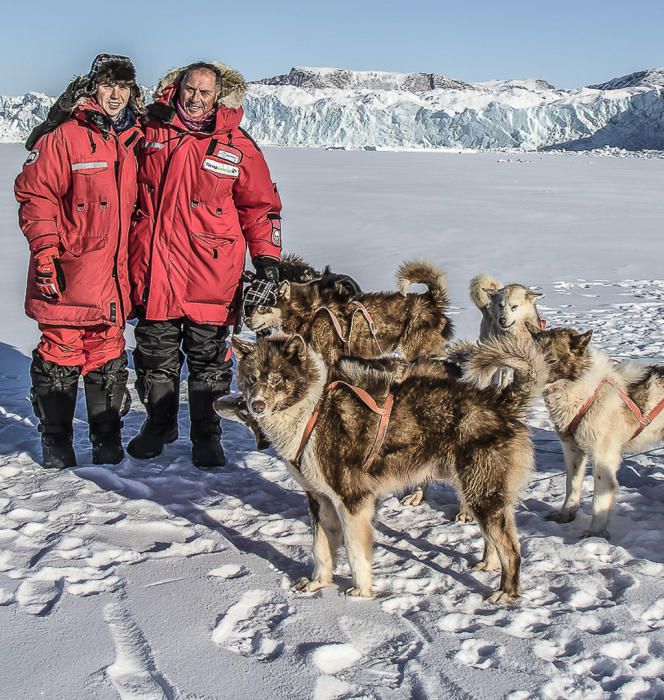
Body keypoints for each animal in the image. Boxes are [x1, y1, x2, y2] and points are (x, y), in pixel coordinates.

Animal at [228, 334, 544, 600]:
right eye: (252, 377)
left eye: (278, 378)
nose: (256, 405)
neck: (312, 410)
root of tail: (500, 402)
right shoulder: (320, 499)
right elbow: (321, 549)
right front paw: (319, 582)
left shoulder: (353, 500)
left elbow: (355, 552)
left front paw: (361, 591)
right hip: (479, 492)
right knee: (495, 539)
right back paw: (488, 564)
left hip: (482, 493)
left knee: (512, 549)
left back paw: (507, 593)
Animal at [528, 326, 664, 540]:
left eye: (552, 360)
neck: (587, 393)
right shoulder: (572, 450)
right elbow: (572, 484)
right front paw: (567, 514)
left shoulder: (603, 458)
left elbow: (599, 500)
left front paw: (595, 534)